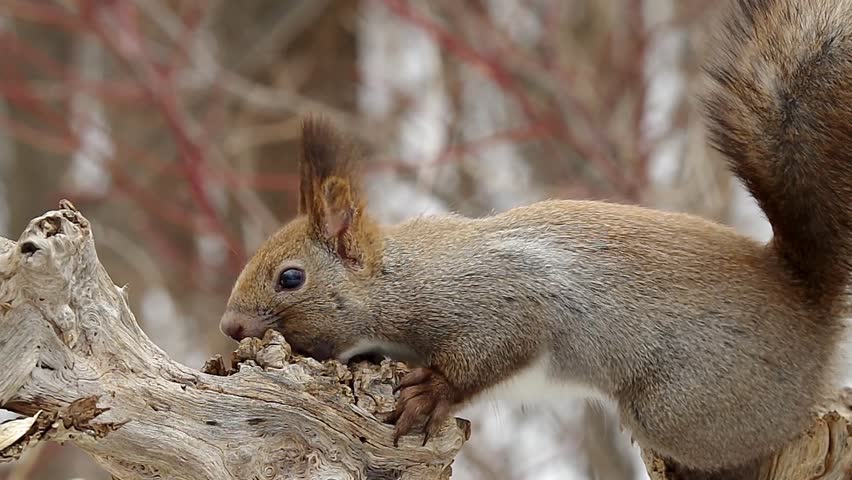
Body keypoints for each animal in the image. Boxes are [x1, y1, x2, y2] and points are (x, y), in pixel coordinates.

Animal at [218, 0, 852, 472]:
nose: (230, 326)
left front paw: (430, 395)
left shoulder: (501, 295)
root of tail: (810, 305)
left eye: (291, 277)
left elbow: (494, 346)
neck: (400, 277)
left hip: (686, 407)